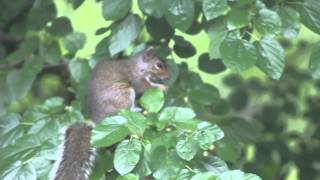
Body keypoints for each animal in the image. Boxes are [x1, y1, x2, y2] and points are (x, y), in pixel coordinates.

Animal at [53, 47, 170, 179]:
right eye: (158, 65)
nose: (168, 77)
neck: (139, 65)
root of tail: (98, 120)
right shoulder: (137, 79)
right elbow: (145, 86)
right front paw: (162, 87)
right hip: (124, 95)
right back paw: (135, 110)